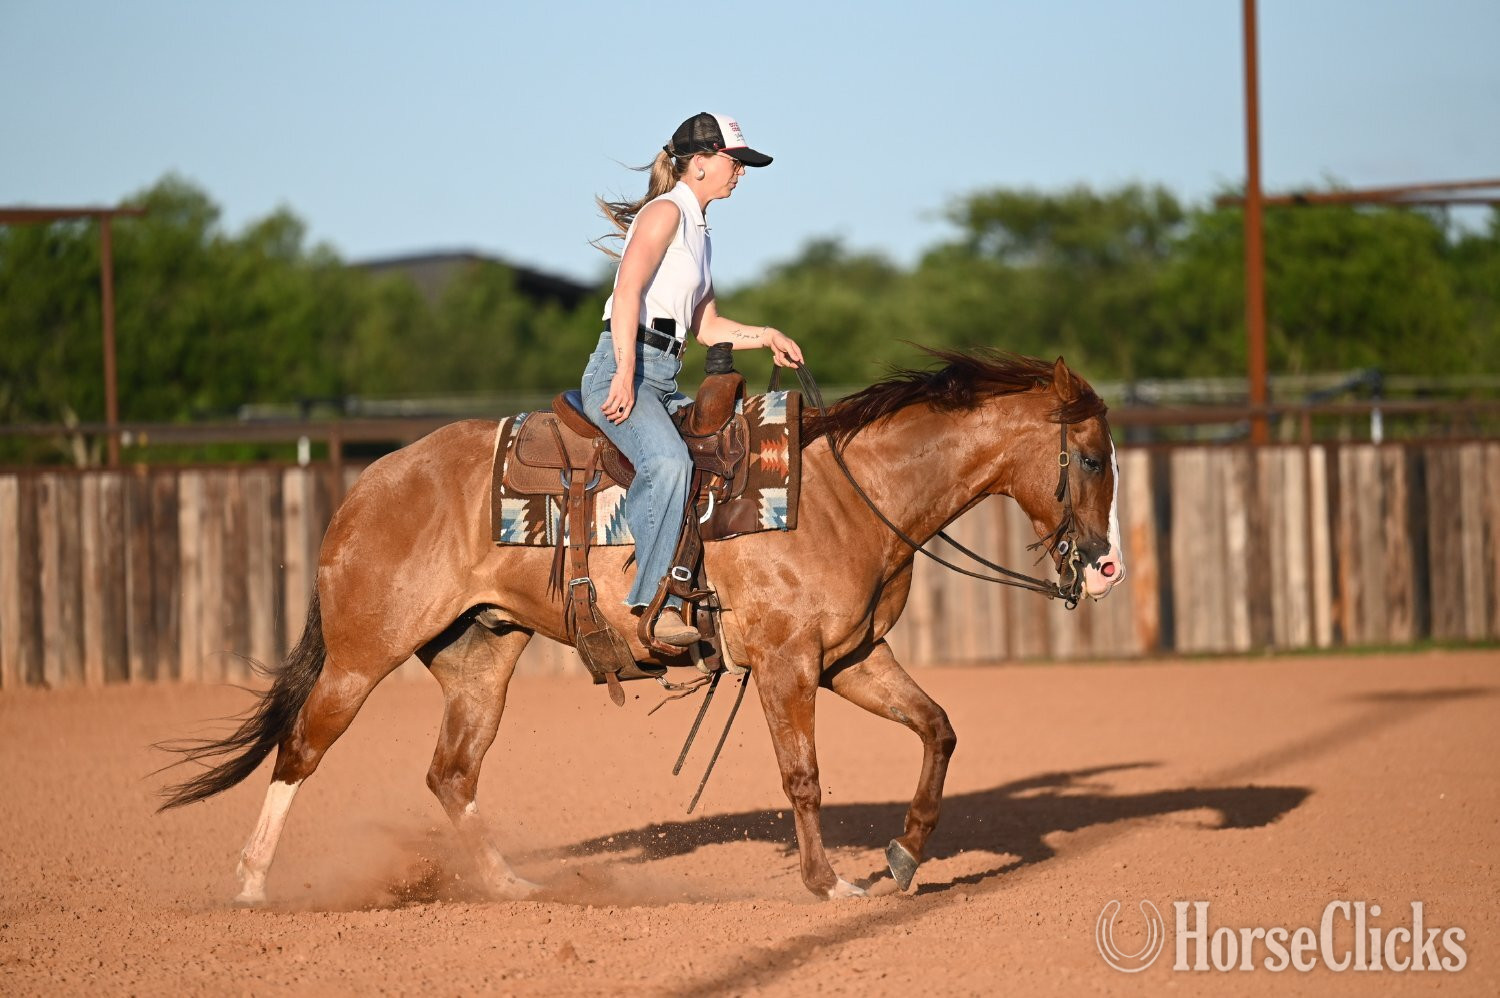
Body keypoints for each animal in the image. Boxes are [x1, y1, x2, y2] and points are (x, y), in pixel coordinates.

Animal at [159, 348, 1126, 902]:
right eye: (1087, 457)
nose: (1108, 564)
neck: (848, 493)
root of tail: (364, 486)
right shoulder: (787, 663)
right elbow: (803, 777)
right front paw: (828, 883)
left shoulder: (851, 657)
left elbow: (939, 729)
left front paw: (904, 855)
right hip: (362, 657)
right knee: (301, 750)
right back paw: (251, 886)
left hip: (479, 657)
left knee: (450, 774)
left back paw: (510, 885)